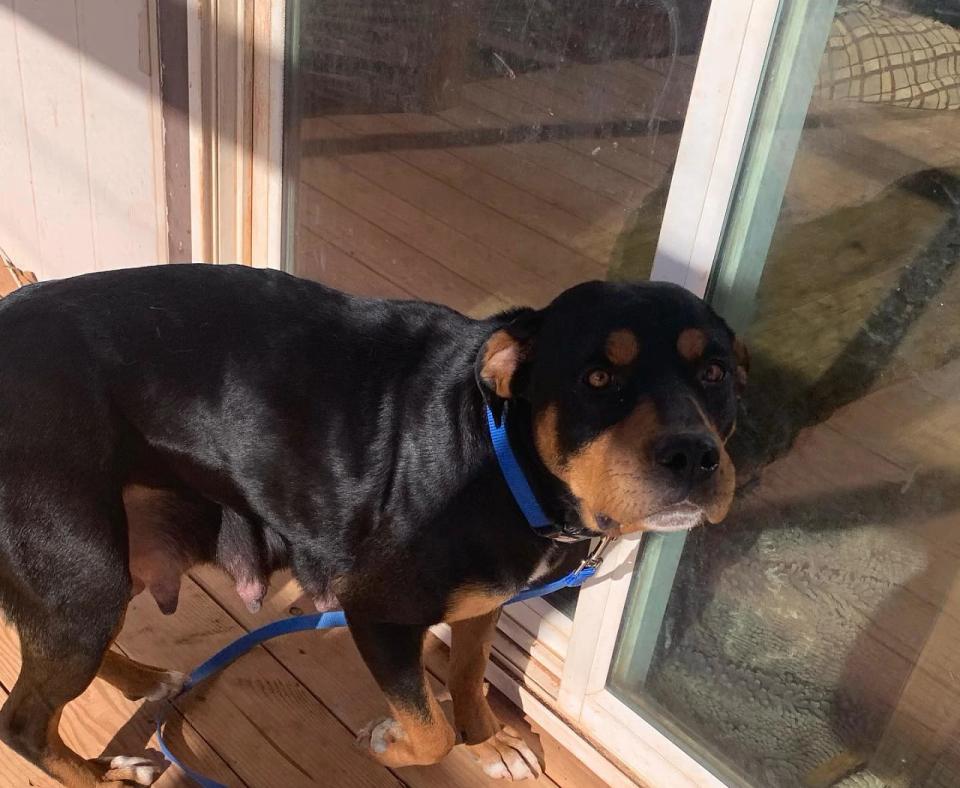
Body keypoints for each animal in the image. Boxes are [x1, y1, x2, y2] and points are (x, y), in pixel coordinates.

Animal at [0, 264, 748, 780]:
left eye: (715, 372)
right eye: (597, 379)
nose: (693, 455)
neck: (500, 452)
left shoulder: (484, 600)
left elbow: (470, 675)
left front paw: (490, 742)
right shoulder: (377, 613)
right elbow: (430, 730)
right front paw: (394, 741)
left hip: (99, 563)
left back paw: (142, 682)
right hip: (82, 570)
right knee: (24, 723)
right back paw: (104, 775)